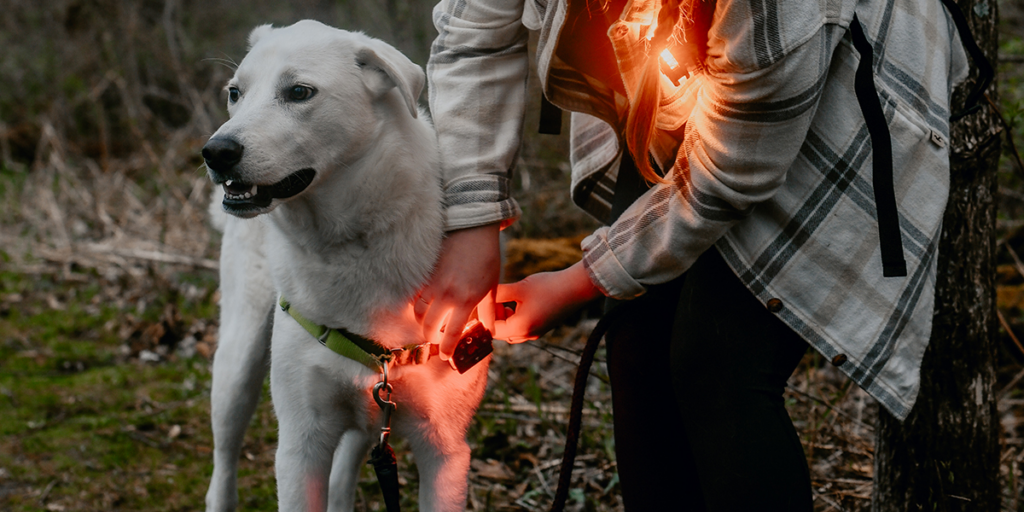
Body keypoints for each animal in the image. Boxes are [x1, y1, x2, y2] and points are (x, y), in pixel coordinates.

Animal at [201, 20, 489, 512]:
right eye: (235, 93)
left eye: (299, 92)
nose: (215, 152)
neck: (350, 241)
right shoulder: (301, 446)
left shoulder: (445, 451)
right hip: (236, 366)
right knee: (223, 464)